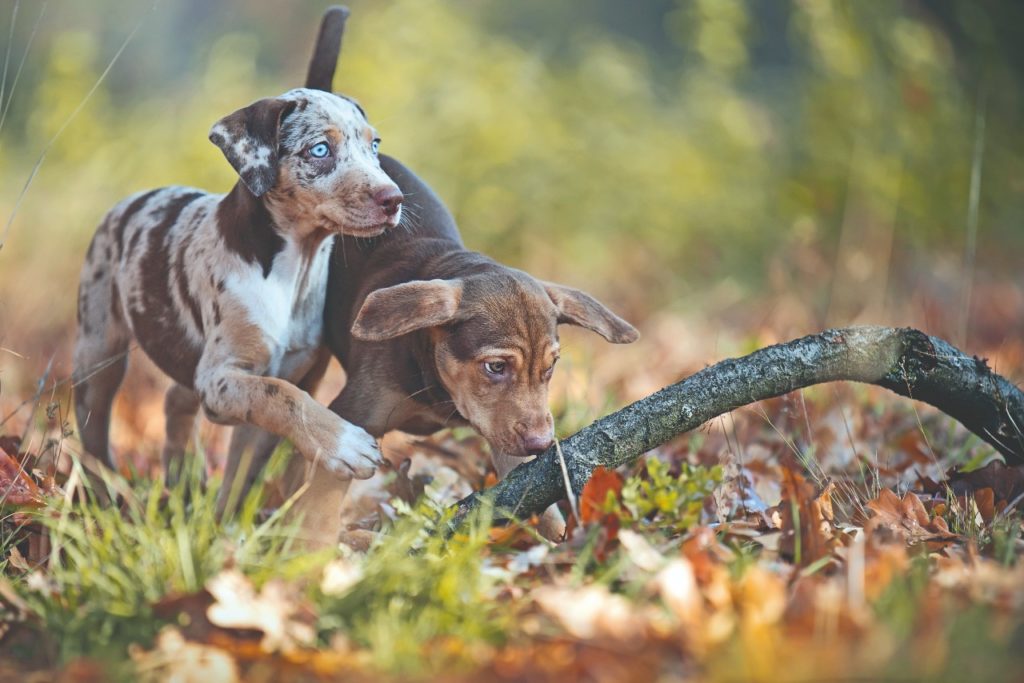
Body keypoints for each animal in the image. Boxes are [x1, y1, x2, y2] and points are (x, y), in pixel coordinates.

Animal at [71, 89, 399, 485]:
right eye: (319, 150)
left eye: (374, 145)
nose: (394, 199)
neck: (293, 272)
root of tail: (132, 199)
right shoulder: (220, 379)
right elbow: (282, 395)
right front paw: (343, 443)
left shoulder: (267, 391)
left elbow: (241, 477)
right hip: (97, 356)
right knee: (94, 440)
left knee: (175, 402)